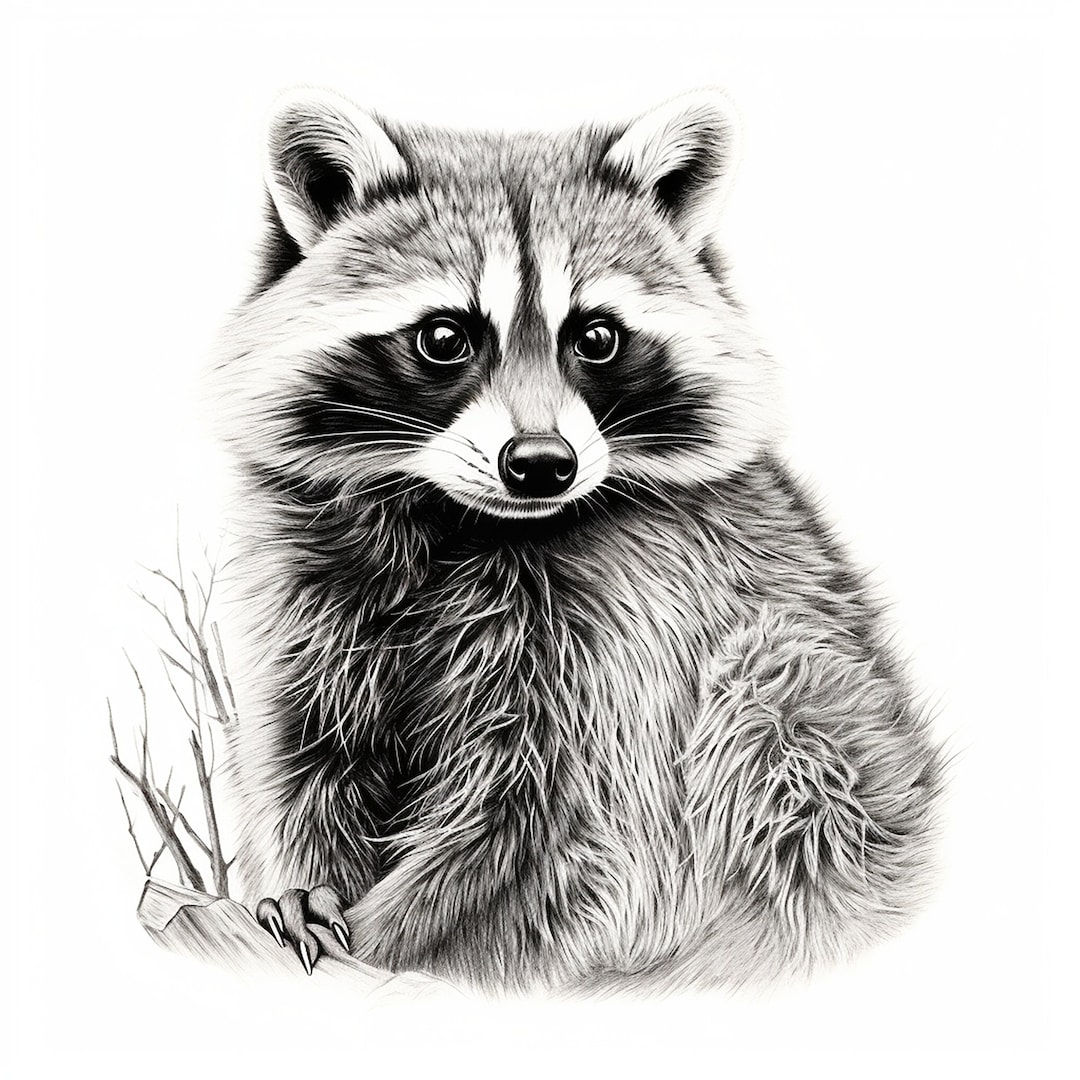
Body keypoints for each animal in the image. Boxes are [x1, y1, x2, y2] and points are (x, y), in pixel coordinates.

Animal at [211, 89, 943, 992]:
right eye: (445, 337)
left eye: (594, 337)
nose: (540, 465)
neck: (459, 520)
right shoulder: (305, 592)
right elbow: (303, 756)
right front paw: (303, 887)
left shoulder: (640, 622)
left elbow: (544, 832)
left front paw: (403, 946)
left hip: (805, 719)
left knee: (776, 703)